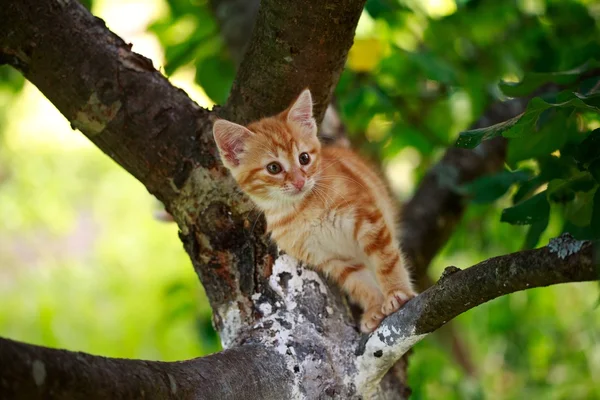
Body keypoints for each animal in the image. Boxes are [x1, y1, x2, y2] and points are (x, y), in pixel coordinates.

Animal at [213, 90, 414, 332]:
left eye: (304, 158)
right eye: (273, 168)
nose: (300, 181)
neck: (301, 209)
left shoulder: (369, 220)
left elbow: (386, 261)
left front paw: (397, 293)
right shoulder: (330, 258)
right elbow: (359, 283)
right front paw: (375, 308)